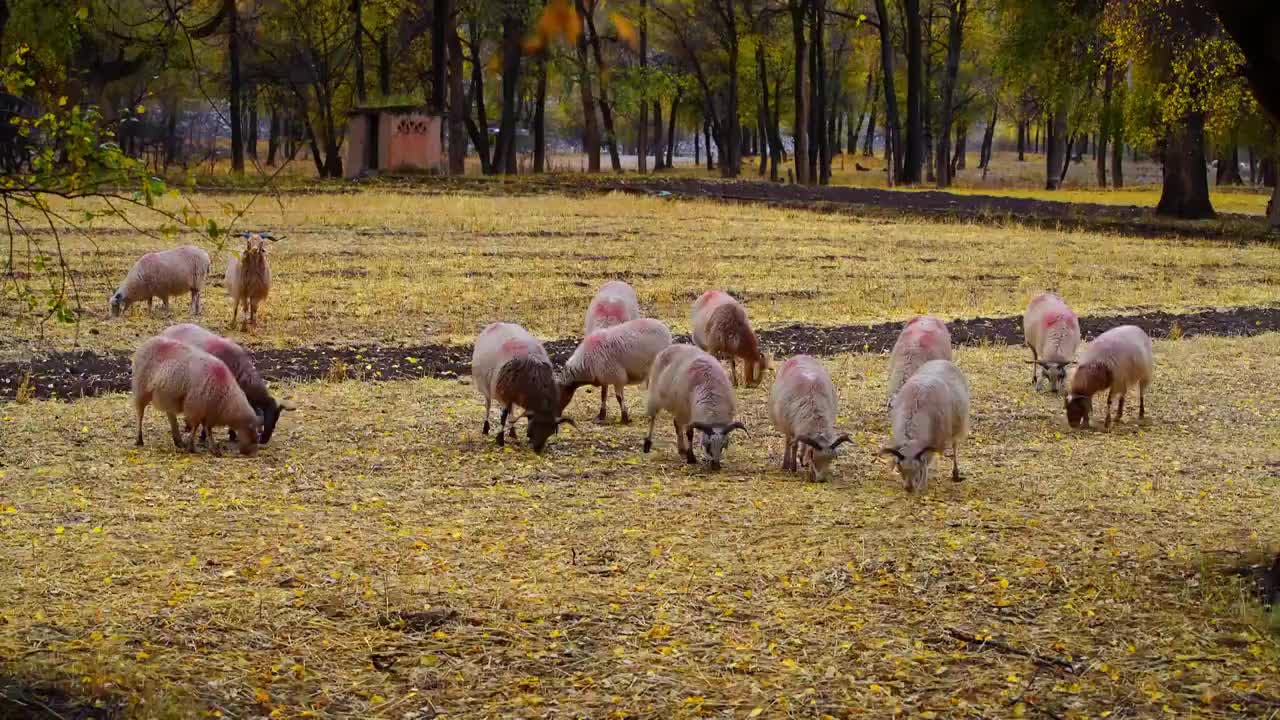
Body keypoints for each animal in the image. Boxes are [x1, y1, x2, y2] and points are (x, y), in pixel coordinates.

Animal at [161, 320, 291, 443]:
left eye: (276, 419)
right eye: (266, 419)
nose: (264, 440)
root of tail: (168, 329)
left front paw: (232, 435)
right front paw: (203, 436)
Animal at [473, 319, 573, 448]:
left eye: (550, 432)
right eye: (535, 427)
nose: (537, 449)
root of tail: (497, 323)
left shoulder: (510, 395)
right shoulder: (503, 393)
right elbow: (503, 417)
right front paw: (500, 440)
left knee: (511, 410)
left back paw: (513, 433)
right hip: (486, 387)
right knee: (488, 405)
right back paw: (486, 428)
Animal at [880, 356, 967, 489]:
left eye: (917, 468)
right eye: (900, 468)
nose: (909, 488)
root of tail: (941, 361)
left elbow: (926, 463)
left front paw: (922, 485)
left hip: (957, 428)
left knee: (955, 446)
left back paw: (955, 474)